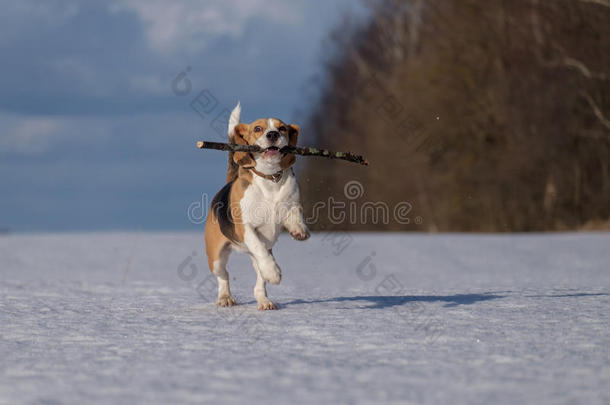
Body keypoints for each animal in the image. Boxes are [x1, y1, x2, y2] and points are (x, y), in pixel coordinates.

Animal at [204, 102, 308, 310]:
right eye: (258, 129)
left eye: (282, 128)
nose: (273, 134)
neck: (270, 178)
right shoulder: (246, 228)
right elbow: (259, 248)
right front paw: (274, 273)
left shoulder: (292, 201)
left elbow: (295, 213)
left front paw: (299, 230)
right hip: (216, 257)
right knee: (224, 275)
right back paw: (225, 297)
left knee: (259, 279)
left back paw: (264, 300)